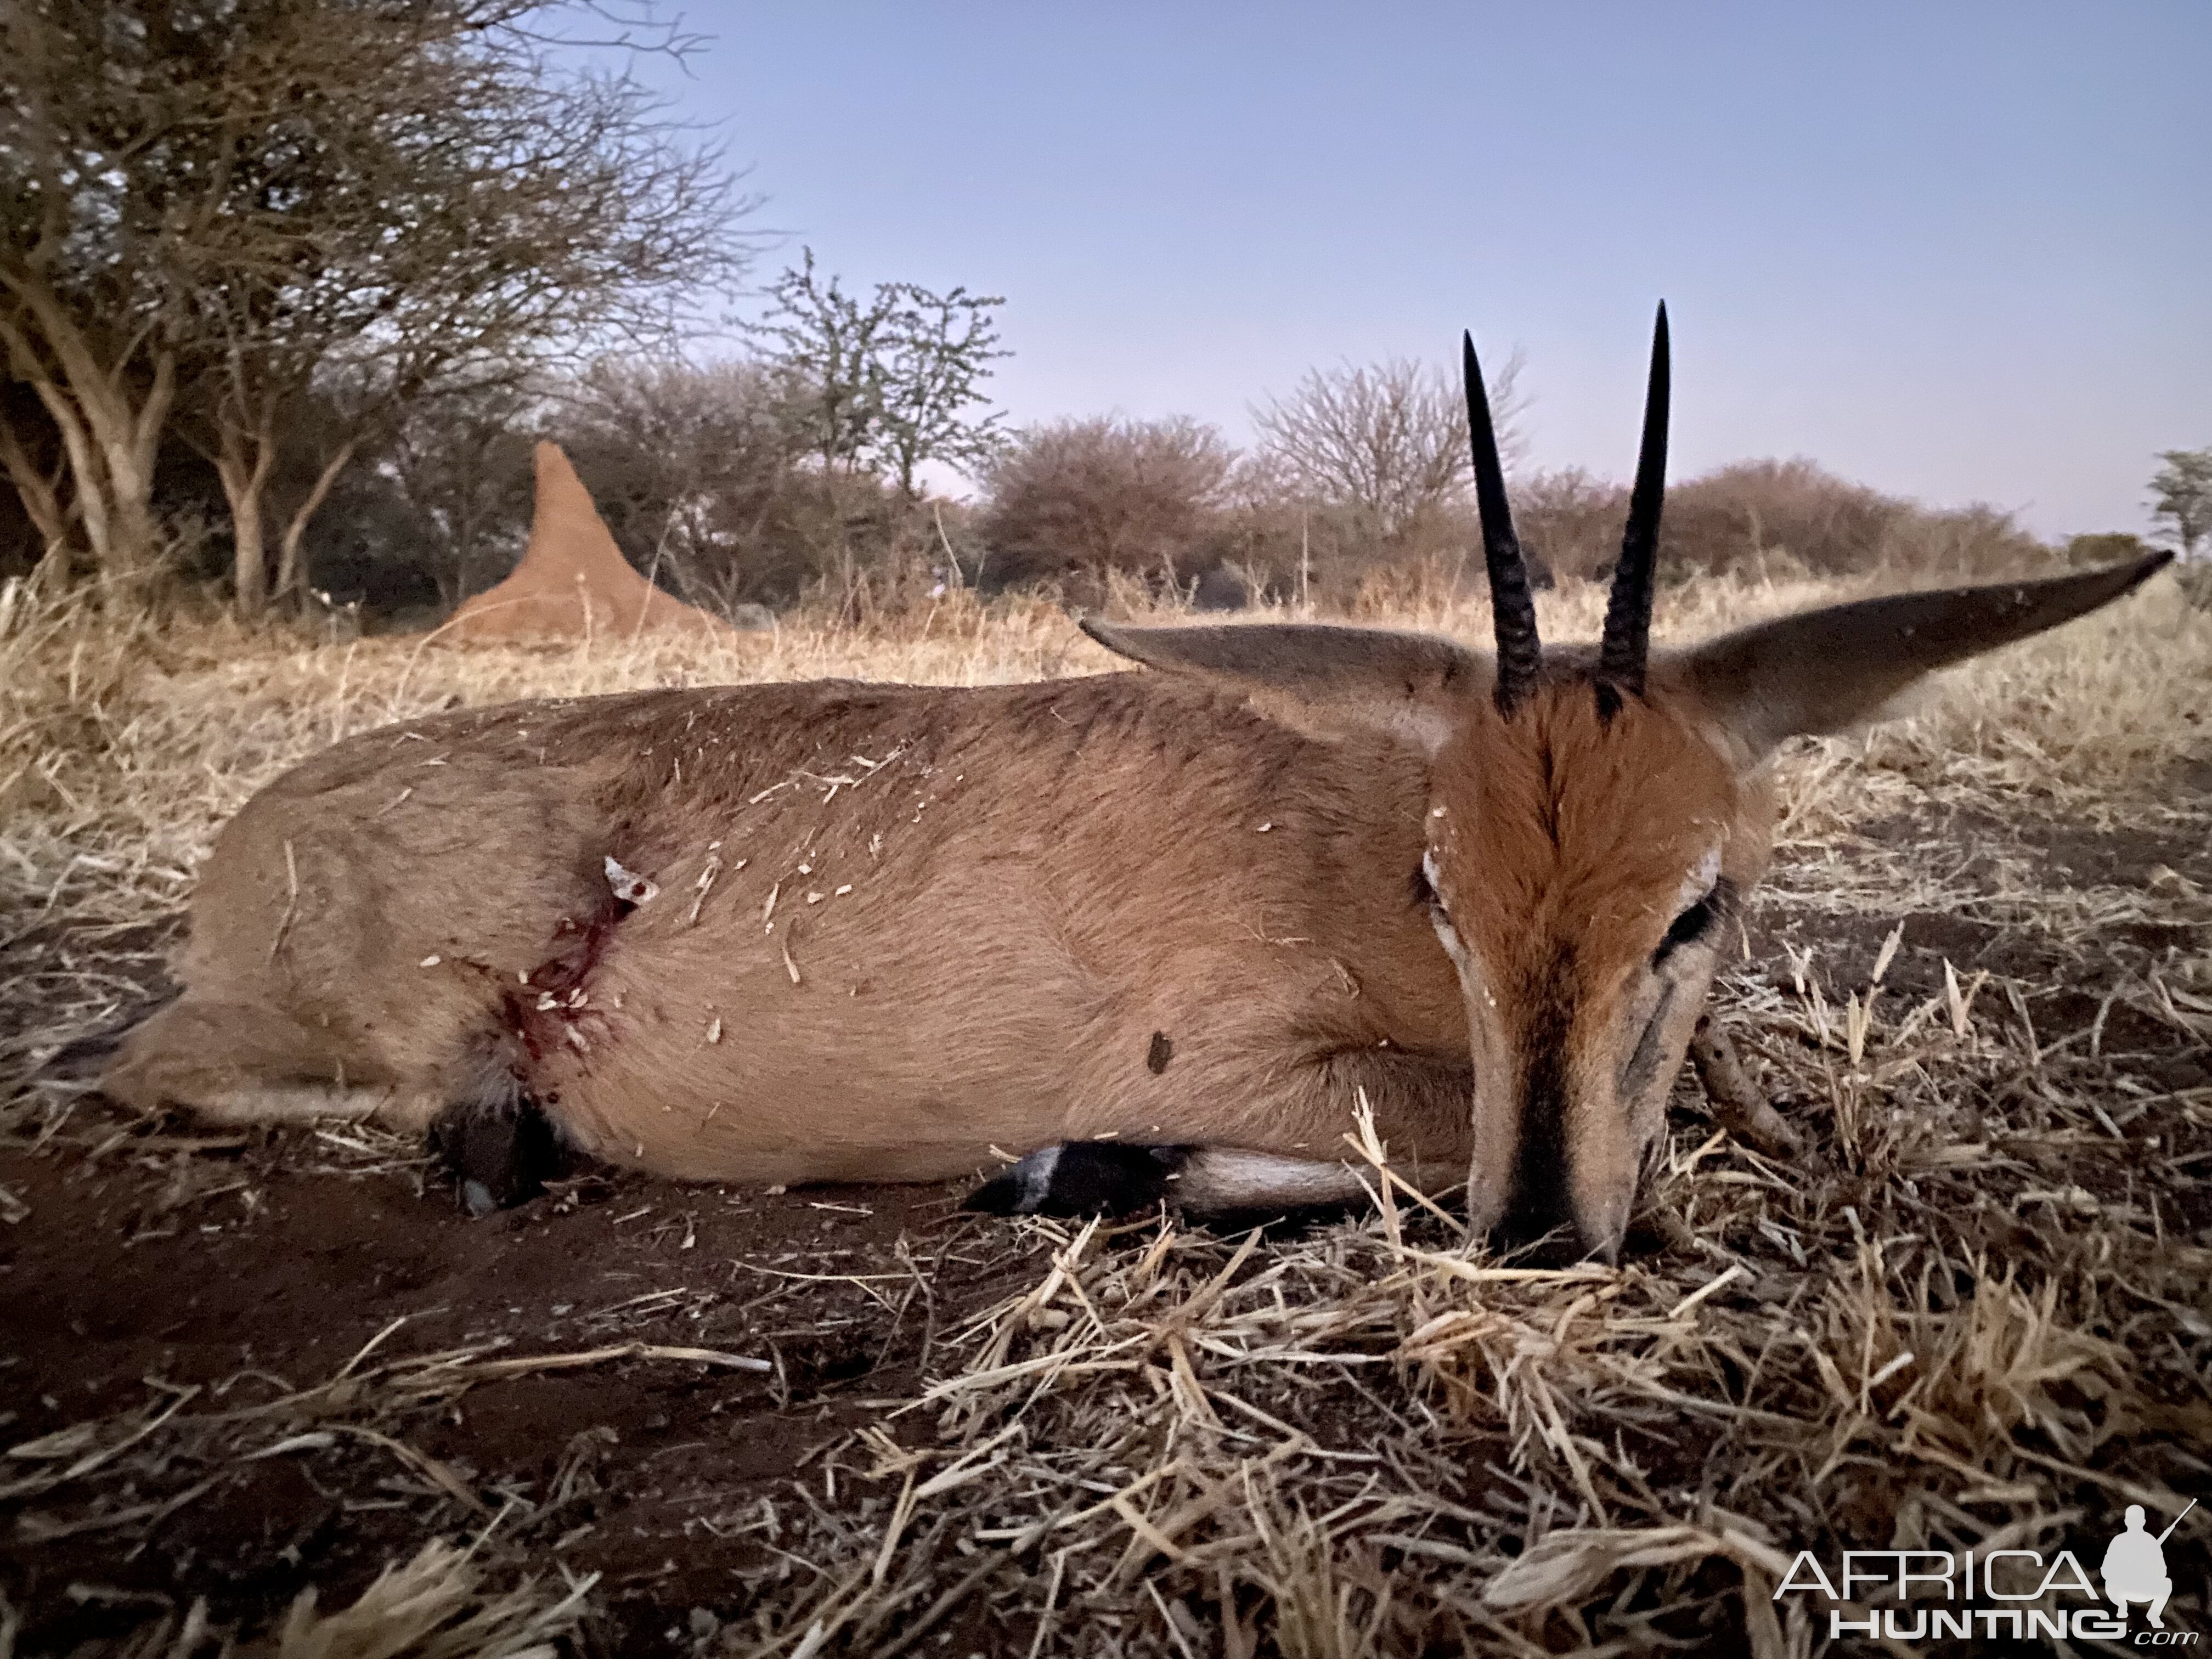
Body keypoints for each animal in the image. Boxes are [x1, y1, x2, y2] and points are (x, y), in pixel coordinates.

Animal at [99, 309, 2159, 1256]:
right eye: (1440, 888)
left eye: (1695, 905)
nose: (1538, 1229)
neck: (1344, 830)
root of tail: (245, 840)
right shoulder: (1279, 1062)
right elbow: (1396, 1130)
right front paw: (1079, 1160)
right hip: (357, 1018)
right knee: (141, 1068)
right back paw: (495, 1132)